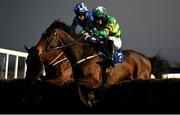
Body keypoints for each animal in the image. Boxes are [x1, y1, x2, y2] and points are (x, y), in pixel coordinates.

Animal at [33, 19, 169, 106]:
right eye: (43, 34)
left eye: (48, 35)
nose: (37, 49)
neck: (82, 53)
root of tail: (146, 58)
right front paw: (91, 100)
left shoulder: (94, 80)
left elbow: (76, 84)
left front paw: (87, 101)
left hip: (142, 77)